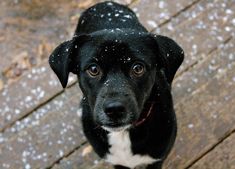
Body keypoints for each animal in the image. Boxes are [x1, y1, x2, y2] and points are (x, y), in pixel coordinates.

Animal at [48, 1, 184, 169]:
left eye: (138, 68)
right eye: (93, 69)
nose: (114, 109)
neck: (123, 134)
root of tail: (103, 3)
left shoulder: (157, 160)